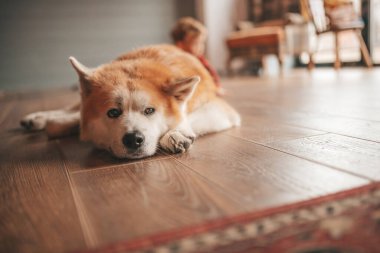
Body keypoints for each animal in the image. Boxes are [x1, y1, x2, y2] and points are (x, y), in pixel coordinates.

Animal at [20, 43, 240, 158]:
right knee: (67, 113)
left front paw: (175, 133)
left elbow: (186, 117)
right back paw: (36, 118)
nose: (134, 139)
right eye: (113, 112)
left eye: (150, 111)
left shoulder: (220, 109)